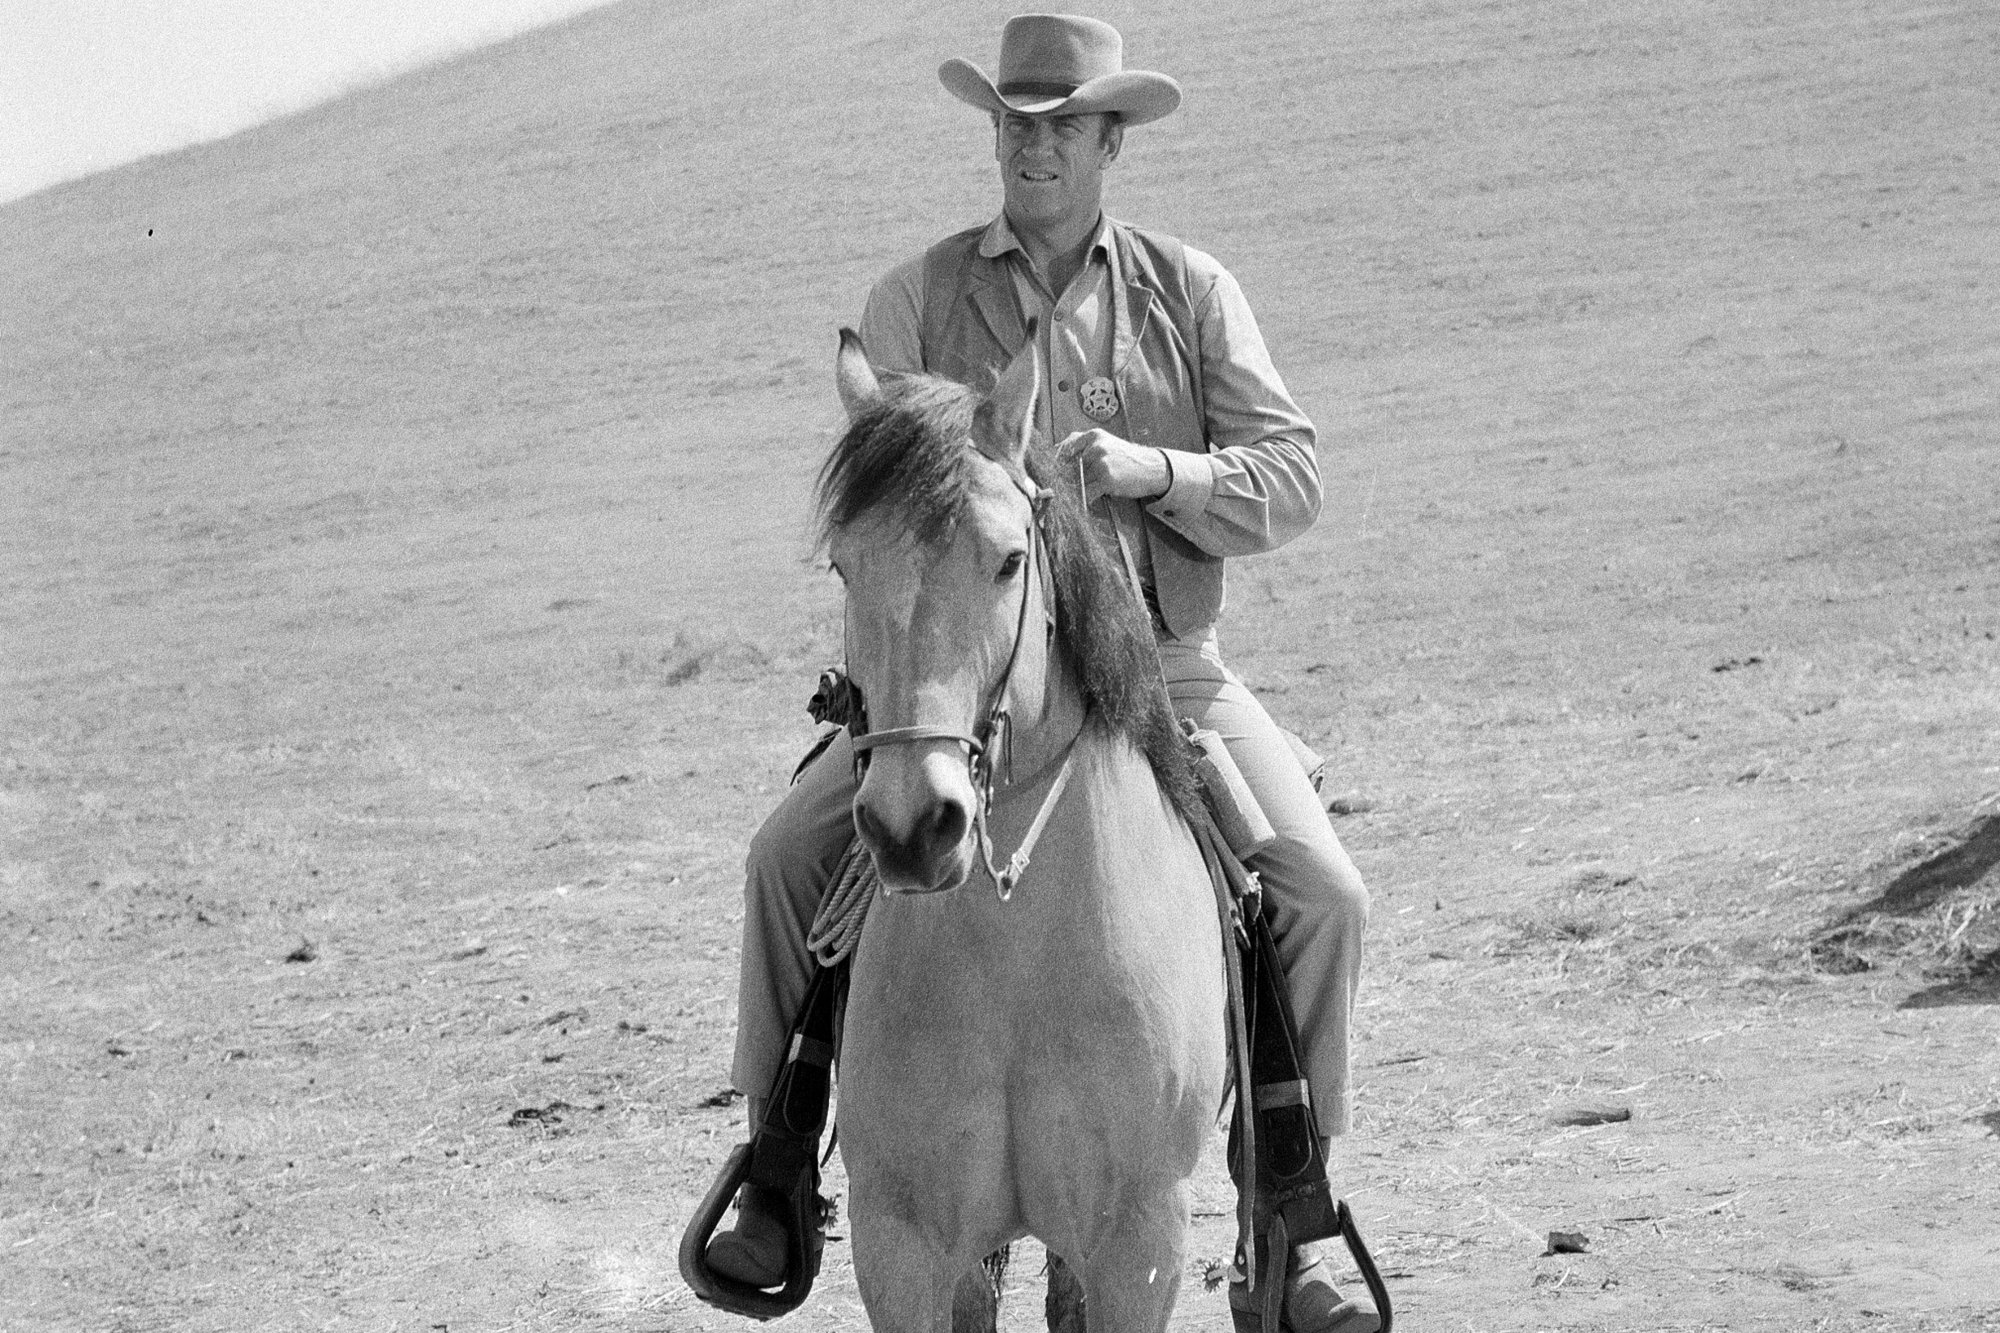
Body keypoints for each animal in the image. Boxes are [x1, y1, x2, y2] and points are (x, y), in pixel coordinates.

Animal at [816, 324, 1224, 1328]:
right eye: (845, 565)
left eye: (1008, 560)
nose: (913, 825)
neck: (1019, 959)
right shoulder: (902, 1245)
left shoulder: (1140, 1242)